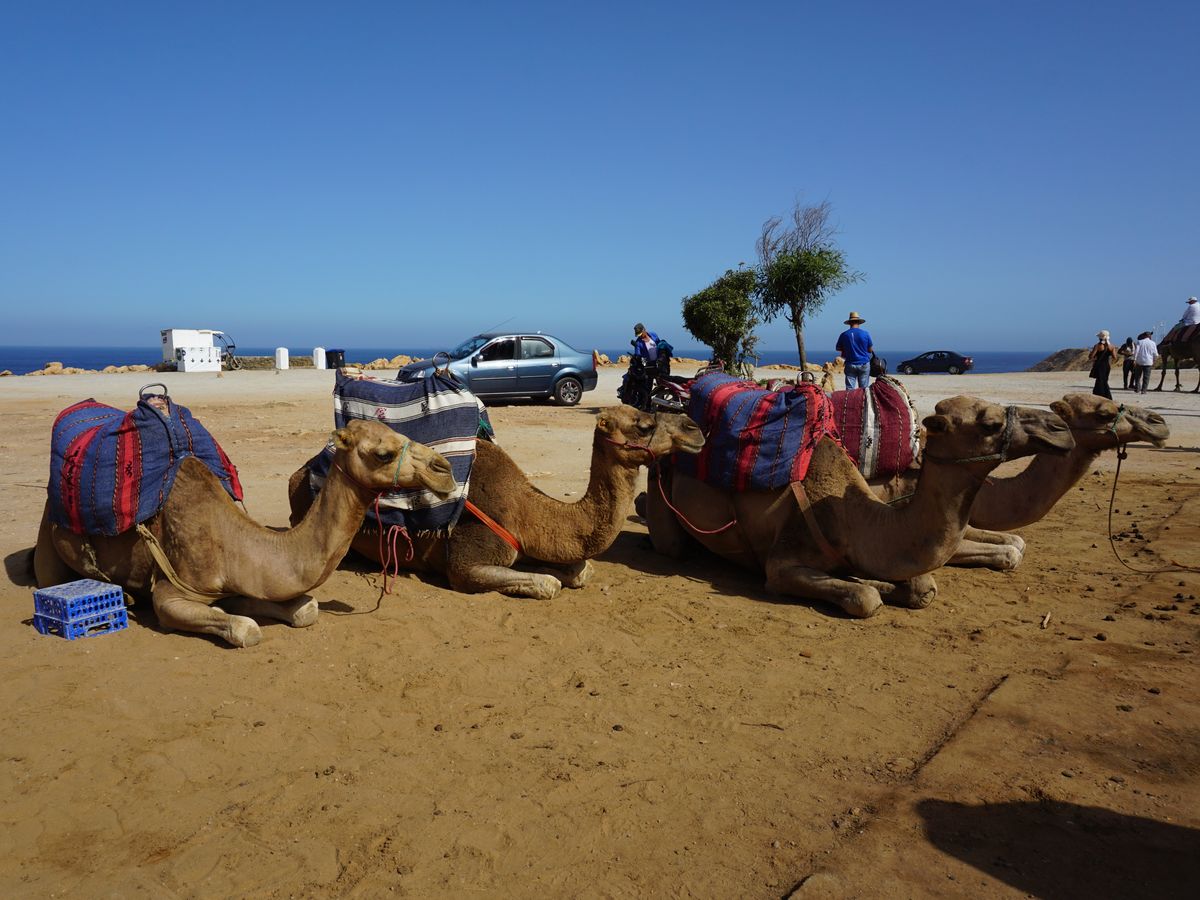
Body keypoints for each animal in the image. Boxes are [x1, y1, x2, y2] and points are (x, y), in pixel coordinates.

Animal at [35, 420, 455, 648]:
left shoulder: (241, 581)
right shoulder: (172, 593)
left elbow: (305, 608)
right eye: (383, 453)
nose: (445, 469)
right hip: (47, 542)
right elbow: (246, 628)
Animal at [288, 405, 706, 600]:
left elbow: (579, 570)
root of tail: (299, 473)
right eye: (644, 425)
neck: (526, 509)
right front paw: (549, 578)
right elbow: (549, 584)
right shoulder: (466, 564)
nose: (695, 428)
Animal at [644, 396, 1074, 618]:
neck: (853, 517)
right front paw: (872, 588)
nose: (1060, 429)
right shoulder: (780, 565)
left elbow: (923, 586)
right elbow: (866, 600)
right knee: (671, 543)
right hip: (660, 487)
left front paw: (885, 583)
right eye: (989, 423)